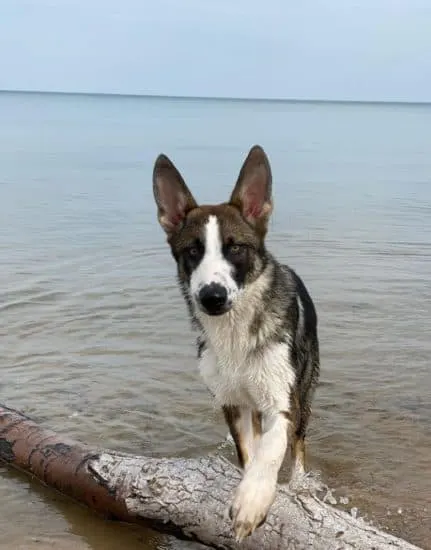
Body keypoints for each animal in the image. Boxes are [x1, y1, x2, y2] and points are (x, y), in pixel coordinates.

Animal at [153, 147, 320, 544]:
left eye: (236, 249)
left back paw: (298, 482)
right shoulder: (232, 403)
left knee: (300, 443)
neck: (235, 335)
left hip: (305, 388)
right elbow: (250, 450)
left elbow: (271, 451)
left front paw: (252, 501)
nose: (212, 296)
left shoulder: (282, 401)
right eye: (193, 251)